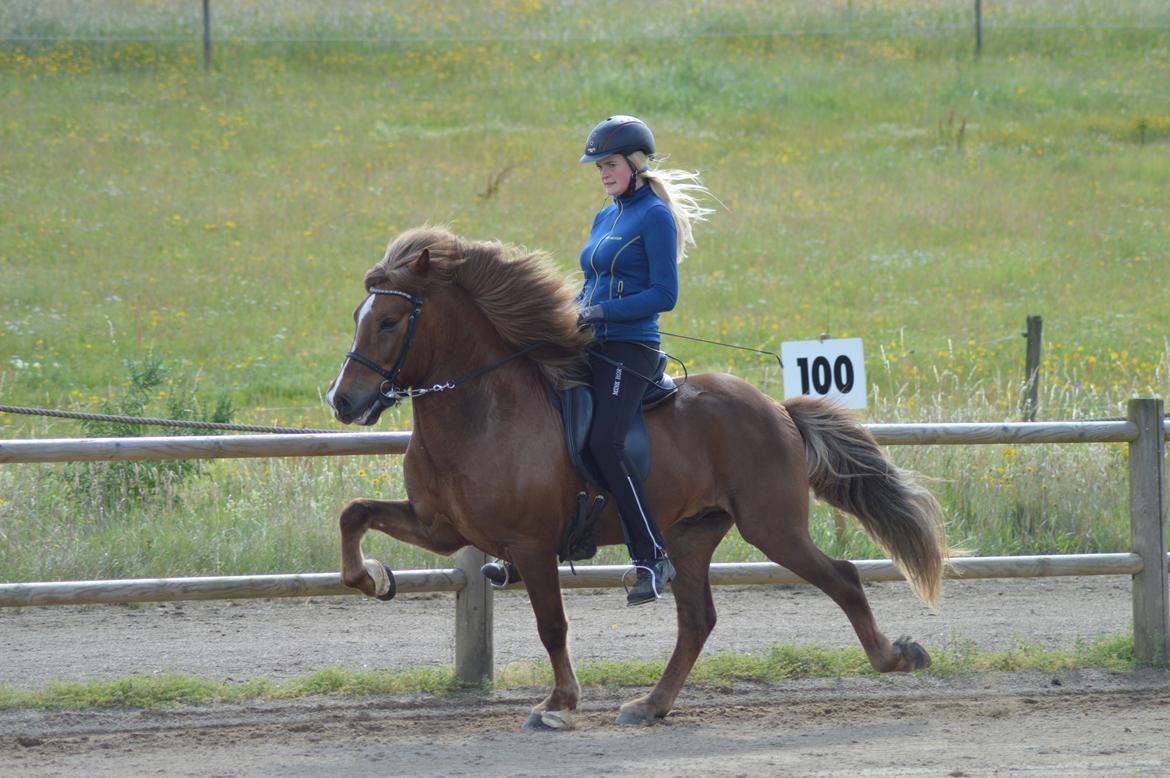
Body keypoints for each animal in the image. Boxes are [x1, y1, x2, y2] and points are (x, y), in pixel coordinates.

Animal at [325, 224, 945, 730]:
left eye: (389, 321)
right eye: (356, 317)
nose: (342, 401)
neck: (482, 408)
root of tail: (775, 409)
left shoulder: (531, 544)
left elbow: (553, 625)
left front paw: (558, 705)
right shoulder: (441, 528)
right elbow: (354, 513)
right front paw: (373, 578)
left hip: (771, 527)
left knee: (842, 578)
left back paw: (896, 657)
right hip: (690, 533)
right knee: (697, 620)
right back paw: (651, 705)